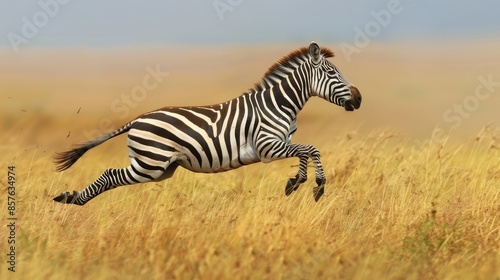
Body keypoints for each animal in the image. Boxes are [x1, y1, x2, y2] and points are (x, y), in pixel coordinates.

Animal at [52, 43, 362, 206]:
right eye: (332, 72)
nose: (358, 99)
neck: (280, 104)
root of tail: (137, 119)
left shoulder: (282, 143)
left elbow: (304, 152)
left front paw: (295, 182)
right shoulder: (266, 147)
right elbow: (311, 149)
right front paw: (318, 185)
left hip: (161, 169)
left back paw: (71, 197)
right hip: (150, 163)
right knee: (109, 174)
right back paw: (73, 199)